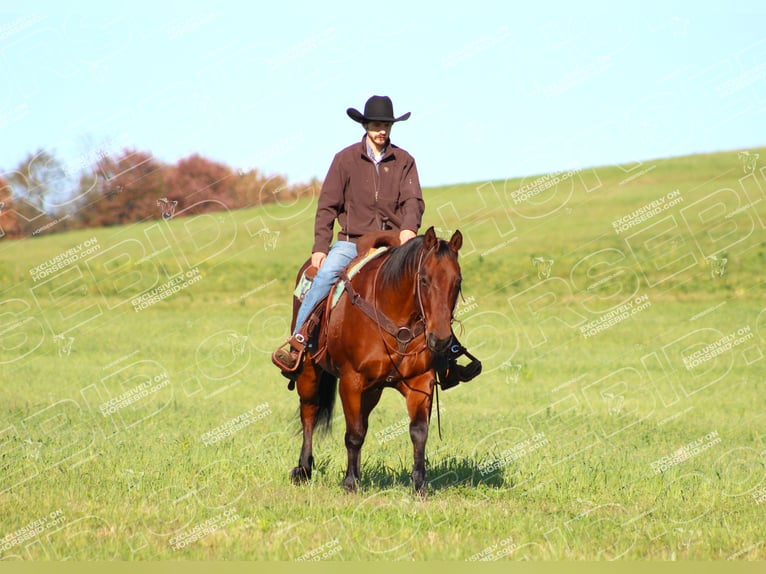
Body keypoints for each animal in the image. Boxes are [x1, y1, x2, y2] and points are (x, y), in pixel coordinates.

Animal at [292, 227, 464, 492]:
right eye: (424, 279)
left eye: (458, 281)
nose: (441, 339)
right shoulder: (351, 381)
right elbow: (353, 434)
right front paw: (350, 483)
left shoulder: (420, 382)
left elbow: (418, 432)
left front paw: (419, 484)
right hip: (309, 372)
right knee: (309, 412)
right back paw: (303, 470)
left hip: (372, 391)